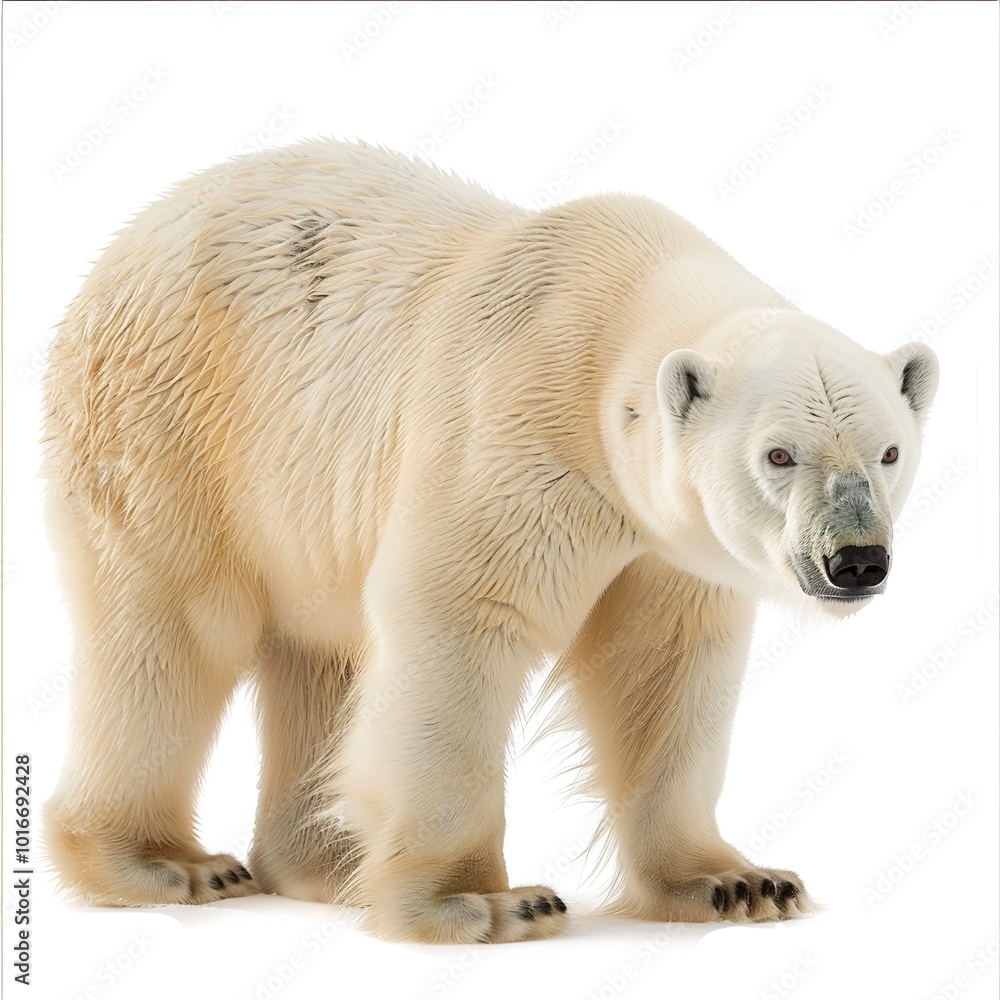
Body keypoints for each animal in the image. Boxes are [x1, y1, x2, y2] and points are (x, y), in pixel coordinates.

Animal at [42, 139, 938, 944]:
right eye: (779, 454)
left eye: (889, 452)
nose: (857, 561)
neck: (610, 317)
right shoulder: (514, 426)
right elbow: (460, 625)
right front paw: (484, 904)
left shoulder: (662, 542)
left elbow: (661, 664)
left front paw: (739, 882)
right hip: (170, 419)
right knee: (172, 630)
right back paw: (169, 864)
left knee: (320, 654)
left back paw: (328, 864)